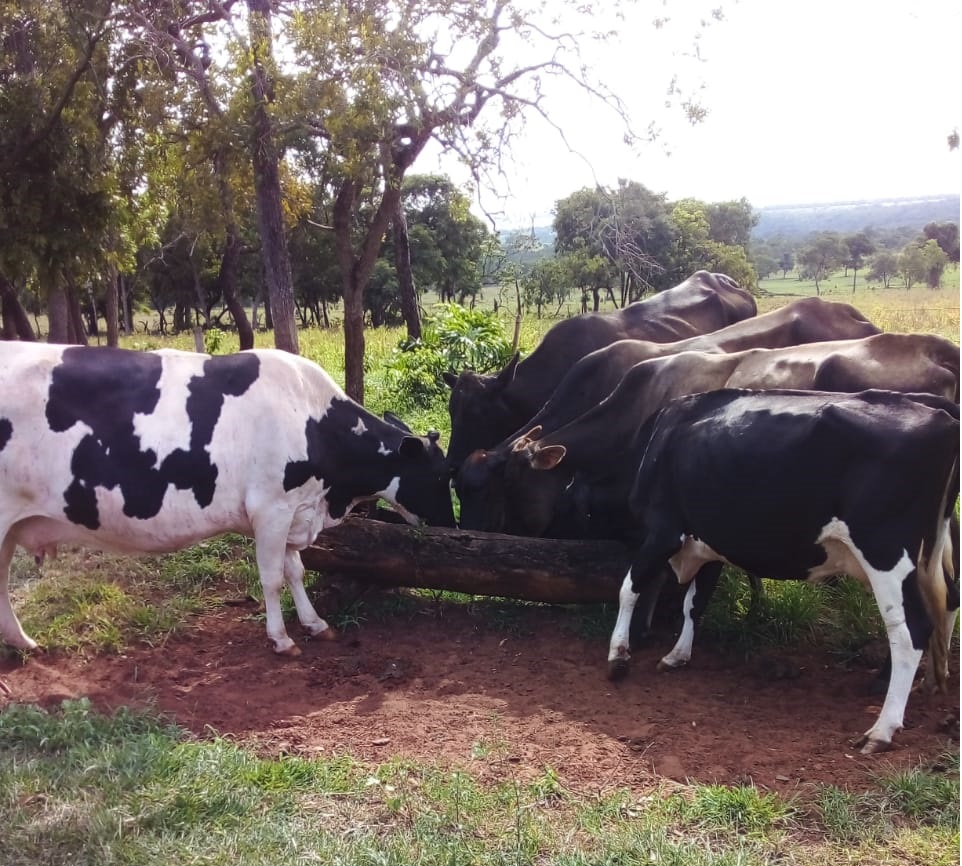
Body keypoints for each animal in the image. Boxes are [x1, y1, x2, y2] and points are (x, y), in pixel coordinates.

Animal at [0, 340, 456, 652]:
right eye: (440, 477)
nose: (452, 527)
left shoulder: (294, 510)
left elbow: (295, 570)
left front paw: (314, 623)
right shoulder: (271, 509)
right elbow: (272, 577)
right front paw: (281, 638)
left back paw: (23, 643)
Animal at [604, 388, 956, 752]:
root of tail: (935, 409)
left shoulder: (663, 531)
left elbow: (629, 588)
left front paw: (618, 656)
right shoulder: (709, 542)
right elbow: (693, 603)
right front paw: (677, 655)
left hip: (884, 549)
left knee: (910, 629)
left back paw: (882, 730)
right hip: (927, 555)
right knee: (947, 603)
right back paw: (927, 683)